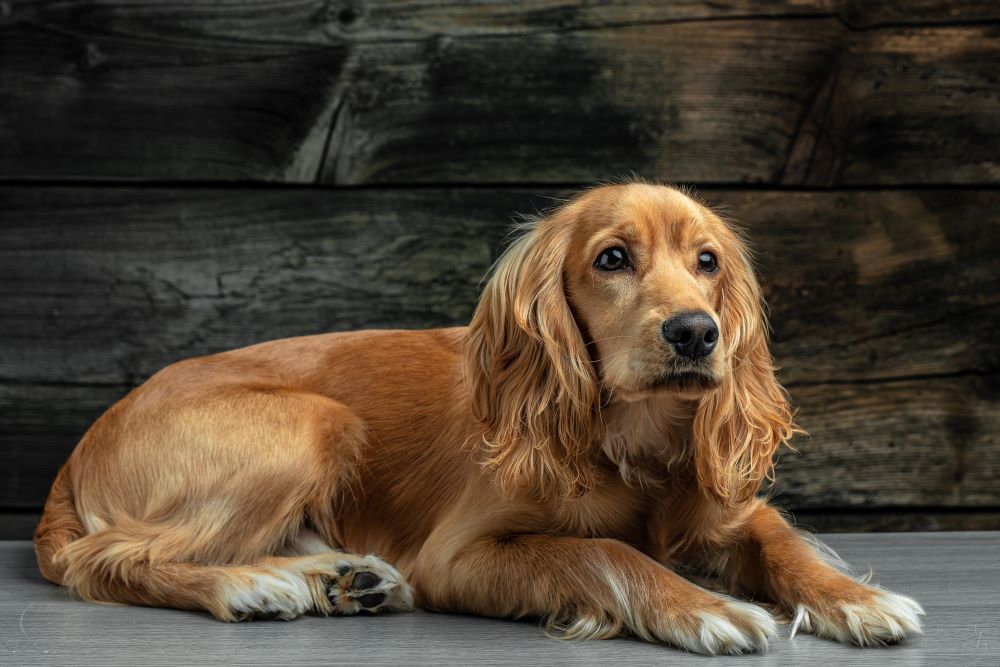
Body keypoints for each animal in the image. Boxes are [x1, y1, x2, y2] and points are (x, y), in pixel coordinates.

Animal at [35, 181, 924, 652]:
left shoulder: (726, 509)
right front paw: (706, 608)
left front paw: (855, 597)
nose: (696, 333)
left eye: (707, 262)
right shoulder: (459, 556)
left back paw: (341, 576)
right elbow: (605, 551)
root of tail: (79, 451)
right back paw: (254, 585)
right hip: (313, 422)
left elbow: (781, 539)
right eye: (611, 258)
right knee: (109, 559)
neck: (631, 440)